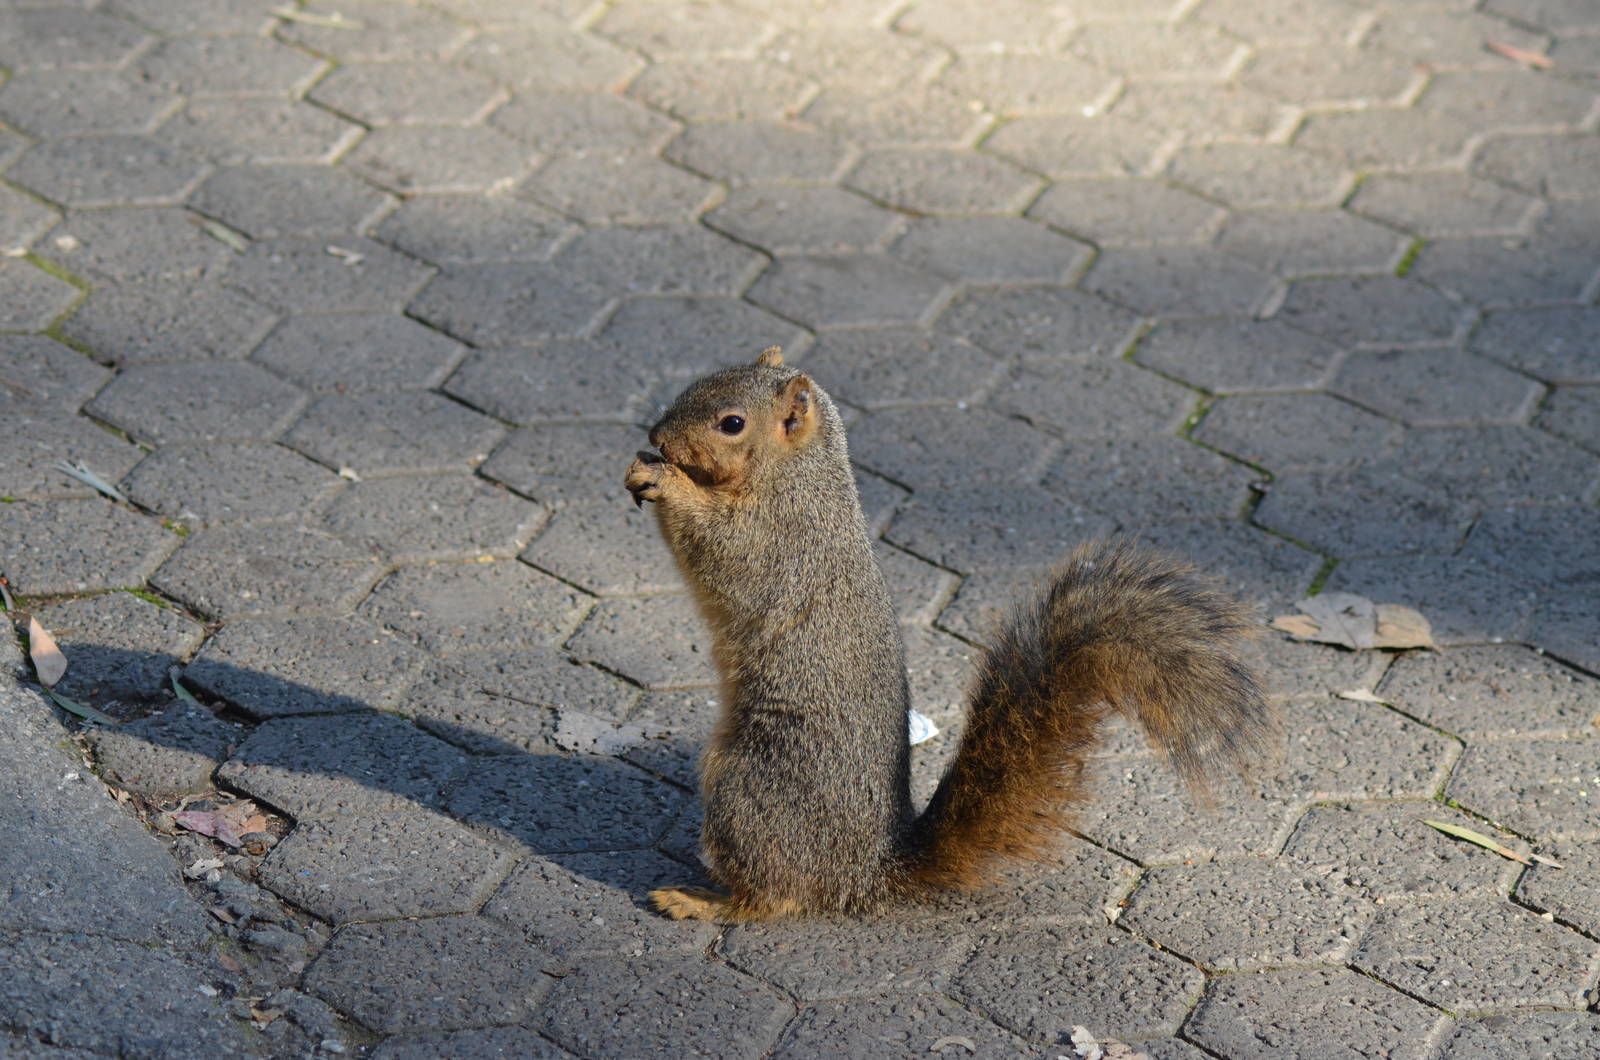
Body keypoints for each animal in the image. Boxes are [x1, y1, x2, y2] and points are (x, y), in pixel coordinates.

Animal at [623, 347, 1275, 922]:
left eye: (732, 423)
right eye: (699, 381)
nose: (657, 434)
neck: (799, 479)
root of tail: (863, 871)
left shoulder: (778, 546)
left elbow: (721, 550)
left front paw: (668, 481)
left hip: (751, 782)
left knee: (775, 896)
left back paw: (701, 901)